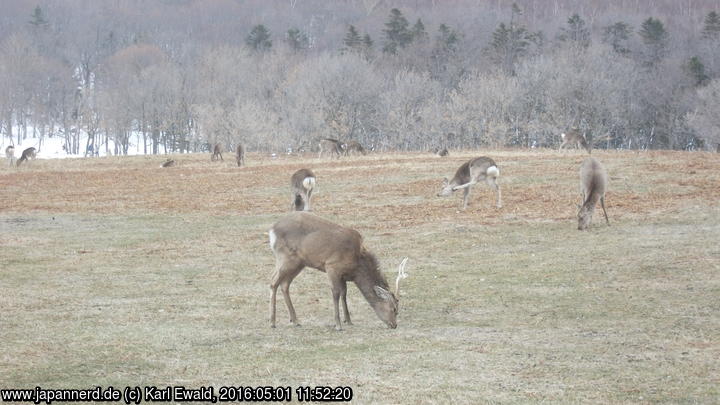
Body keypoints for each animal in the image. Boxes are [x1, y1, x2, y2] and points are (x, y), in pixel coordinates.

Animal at [268, 210, 408, 330]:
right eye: (394, 309)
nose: (394, 325)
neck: (356, 266)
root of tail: (272, 230)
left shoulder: (343, 275)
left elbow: (344, 293)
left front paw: (349, 320)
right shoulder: (332, 266)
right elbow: (336, 293)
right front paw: (338, 324)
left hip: (298, 263)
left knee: (284, 284)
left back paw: (295, 320)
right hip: (286, 258)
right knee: (273, 282)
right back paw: (272, 322)